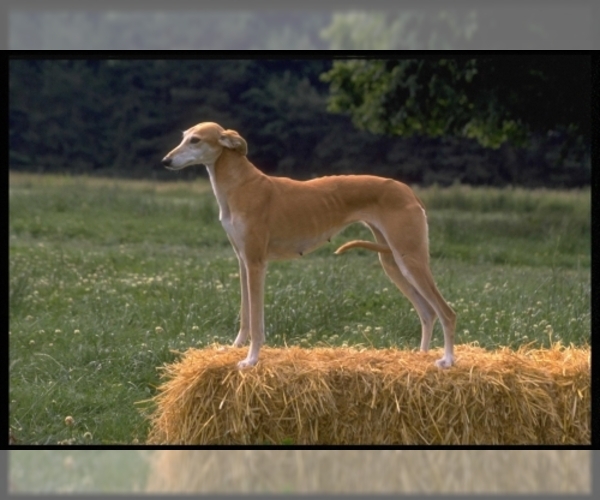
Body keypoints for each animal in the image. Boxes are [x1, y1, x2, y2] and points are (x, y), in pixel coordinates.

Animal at [162, 123, 458, 370]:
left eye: (196, 140)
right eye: (184, 137)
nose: (166, 161)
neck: (241, 185)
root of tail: (409, 192)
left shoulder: (257, 263)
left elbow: (257, 322)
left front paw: (251, 360)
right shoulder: (243, 261)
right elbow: (246, 316)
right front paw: (234, 349)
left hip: (410, 258)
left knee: (446, 312)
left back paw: (447, 360)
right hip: (393, 262)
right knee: (427, 312)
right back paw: (420, 357)